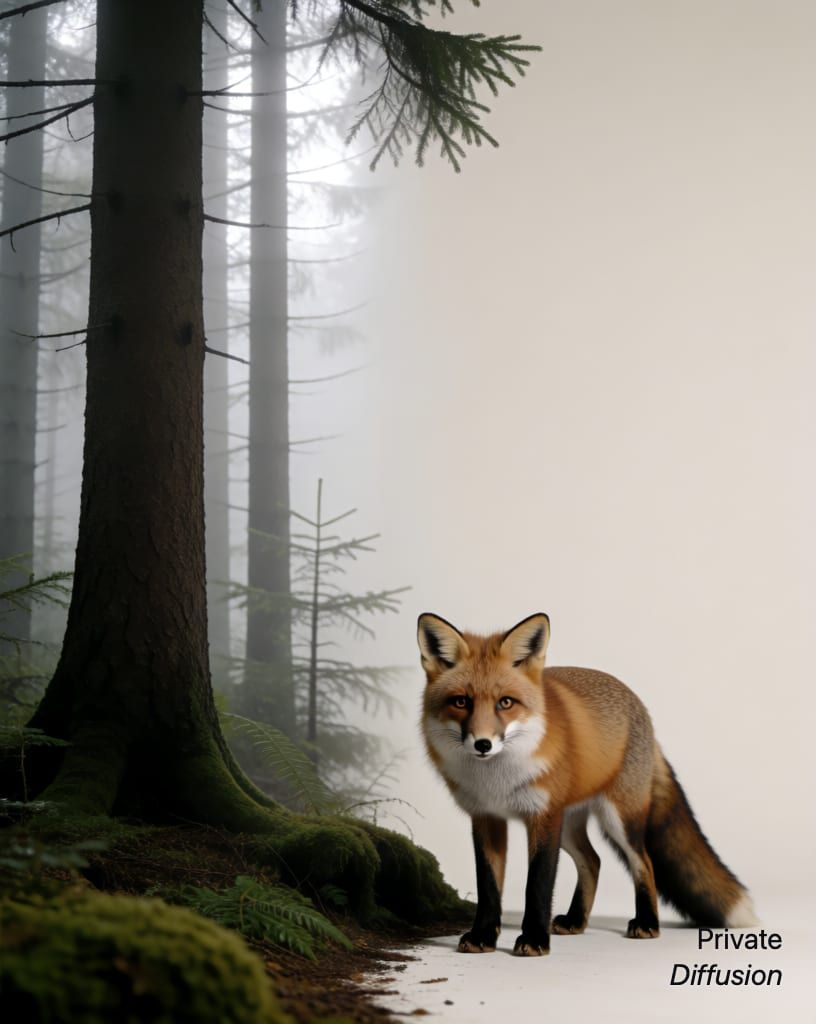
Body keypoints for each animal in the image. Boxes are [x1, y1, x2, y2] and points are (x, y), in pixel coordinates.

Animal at [418, 611, 757, 957]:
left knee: (643, 862)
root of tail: (641, 708)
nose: (483, 744)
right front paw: (483, 935)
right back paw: (576, 920)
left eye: (505, 703)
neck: (497, 780)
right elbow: (487, 886)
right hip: (569, 827)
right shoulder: (486, 818)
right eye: (461, 702)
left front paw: (534, 939)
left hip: (617, 819)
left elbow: (538, 884)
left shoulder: (543, 816)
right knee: (593, 861)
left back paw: (647, 923)